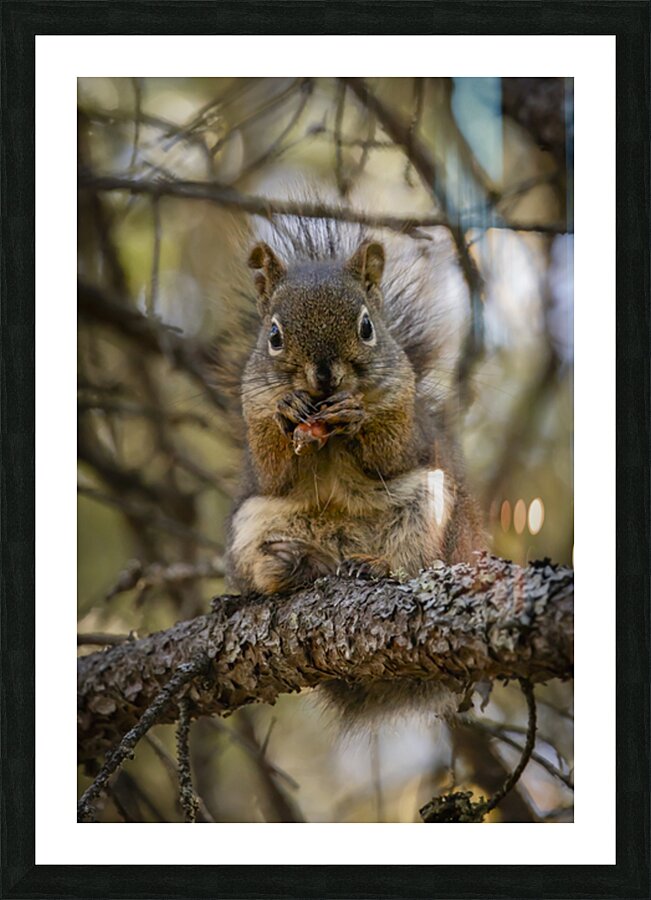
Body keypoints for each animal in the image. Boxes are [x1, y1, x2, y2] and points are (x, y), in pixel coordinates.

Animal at [224, 214, 485, 725]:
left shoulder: (410, 425)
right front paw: (289, 408)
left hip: (431, 509)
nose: (325, 376)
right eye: (274, 335)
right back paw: (293, 565)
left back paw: (371, 566)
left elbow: (391, 452)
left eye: (366, 326)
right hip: (252, 524)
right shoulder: (255, 417)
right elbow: (273, 469)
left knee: (413, 563)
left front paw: (357, 414)